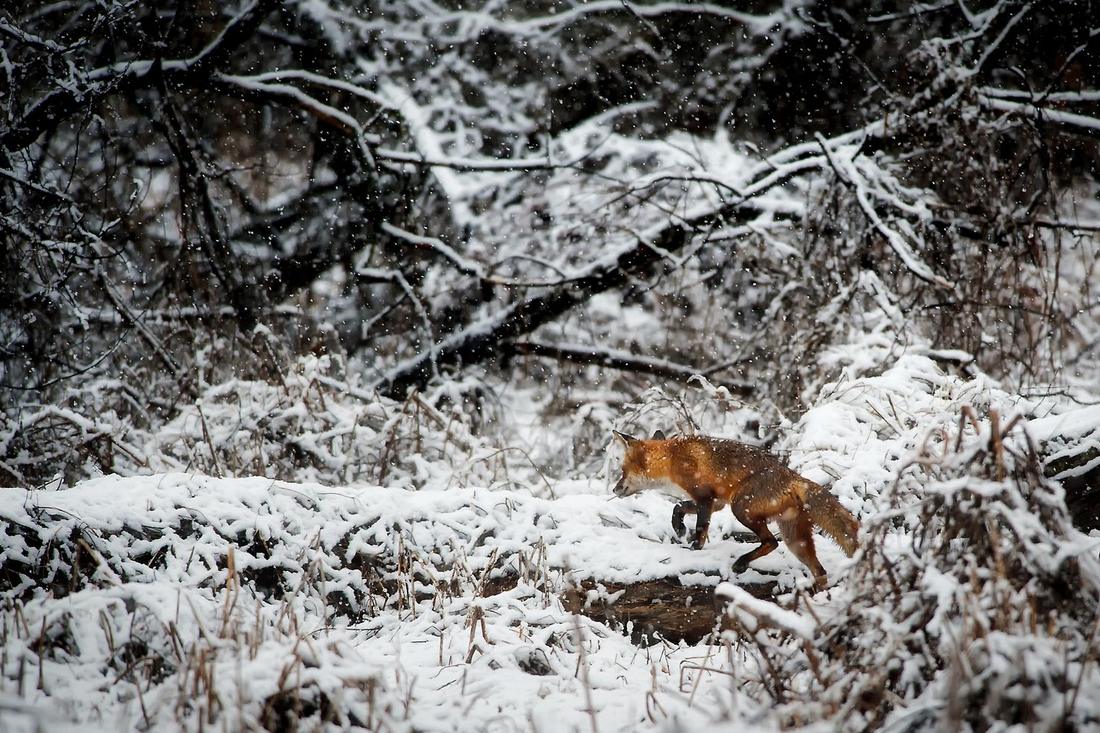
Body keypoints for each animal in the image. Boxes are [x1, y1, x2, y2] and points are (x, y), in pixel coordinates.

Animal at [612, 430, 859, 591]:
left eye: (622, 470)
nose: (614, 489)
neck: (672, 457)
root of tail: (794, 477)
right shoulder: (716, 502)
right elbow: (678, 507)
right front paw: (679, 527)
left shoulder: (705, 497)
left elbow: (700, 527)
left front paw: (693, 548)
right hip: (794, 540)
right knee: (820, 571)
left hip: (741, 508)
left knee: (771, 542)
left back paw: (742, 563)